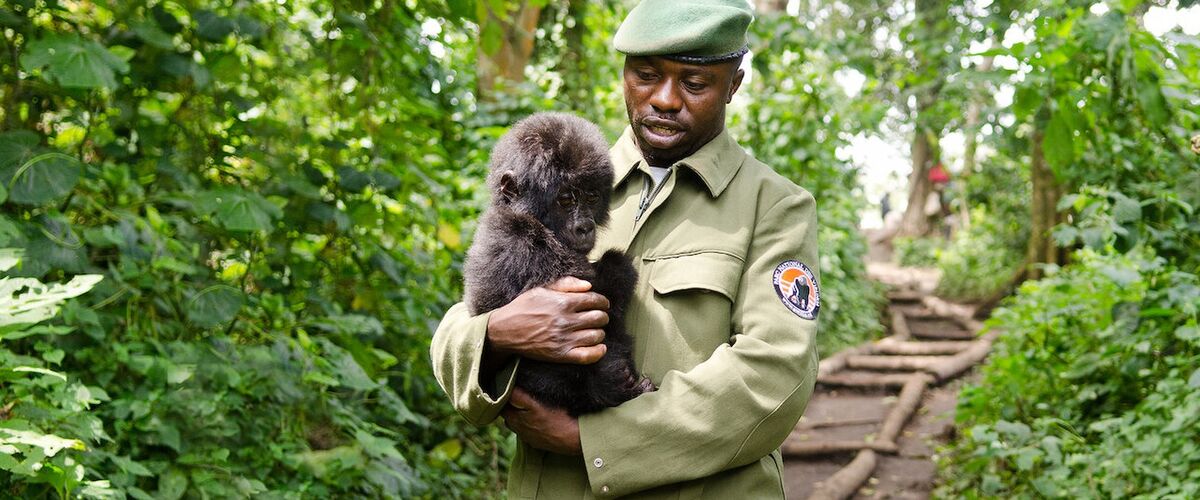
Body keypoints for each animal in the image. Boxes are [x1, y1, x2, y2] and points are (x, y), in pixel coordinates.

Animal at [465, 110, 652, 414]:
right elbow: (603, 294)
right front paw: (617, 265)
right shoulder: (524, 244)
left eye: (591, 197)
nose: (585, 227)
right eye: (566, 199)